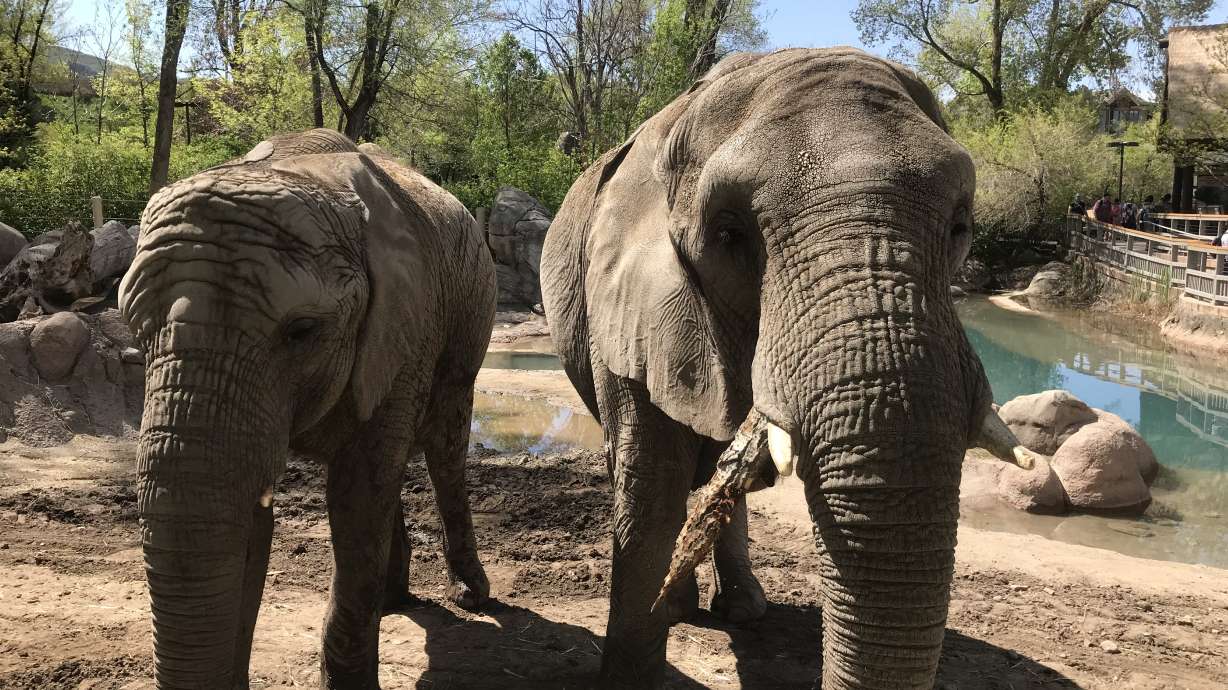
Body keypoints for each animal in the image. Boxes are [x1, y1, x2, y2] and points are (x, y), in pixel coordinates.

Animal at [118, 128, 495, 688]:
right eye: (135, 330)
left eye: (301, 331)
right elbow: (252, 516)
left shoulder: (404, 325)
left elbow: (357, 497)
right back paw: (392, 601)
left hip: (469, 314)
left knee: (443, 449)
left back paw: (470, 596)